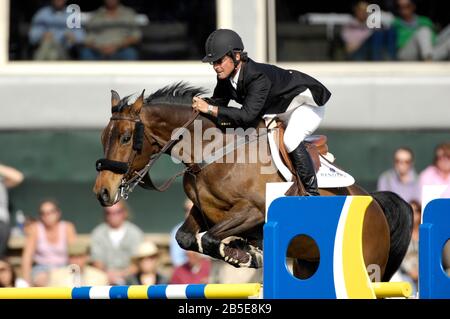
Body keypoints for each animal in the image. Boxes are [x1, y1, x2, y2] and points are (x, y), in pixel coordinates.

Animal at [93, 82, 414, 282]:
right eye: (103, 138)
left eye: (126, 138)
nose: (102, 193)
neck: (212, 154)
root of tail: (375, 203)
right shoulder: (203, 212)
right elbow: (186, 238)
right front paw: (244, 250)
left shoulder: (253, 212)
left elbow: (211, 239)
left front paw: (243, 254)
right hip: (309, 264)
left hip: (366, 264)